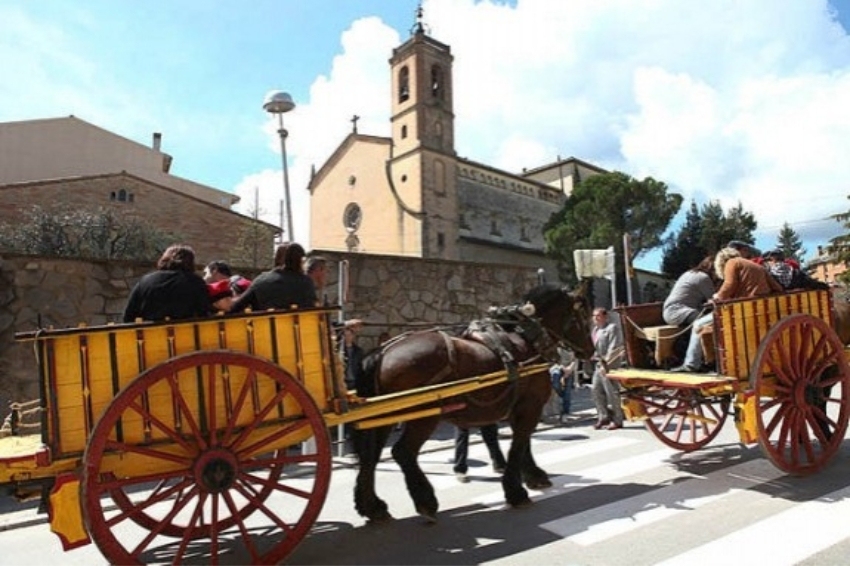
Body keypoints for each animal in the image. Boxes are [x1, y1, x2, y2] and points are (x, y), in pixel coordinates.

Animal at [348, 282, 592, 524]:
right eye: (582, 316)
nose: (590, 350)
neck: (528, 340)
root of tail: (382, 352)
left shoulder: (521, 408)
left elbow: (523, 443)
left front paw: (533, 475)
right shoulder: (530, 407)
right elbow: (518, 444)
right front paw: (516, 491)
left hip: (384, 418)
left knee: (370, 455)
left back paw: (373, 507)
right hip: (424, 416)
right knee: (402, 452)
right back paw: (425, 501)